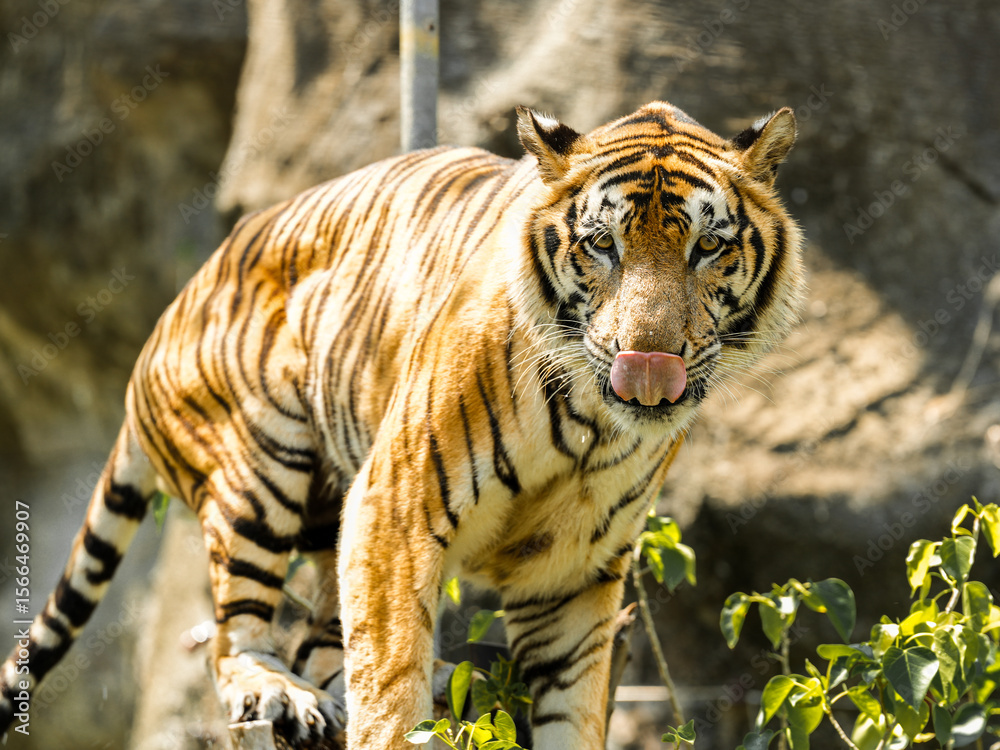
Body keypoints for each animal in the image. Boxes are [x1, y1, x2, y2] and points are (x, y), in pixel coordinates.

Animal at [0, 100, 803, 749]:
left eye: (708, 246)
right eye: (602, 244)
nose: (649, 360)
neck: (593, 426)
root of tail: (172, 309)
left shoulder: (572, 569)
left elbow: (571, 706)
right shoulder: (395, 506)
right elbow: (390, 682)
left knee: (321, 641)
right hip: (258, 469)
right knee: (237, 640)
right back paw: (280, 694)